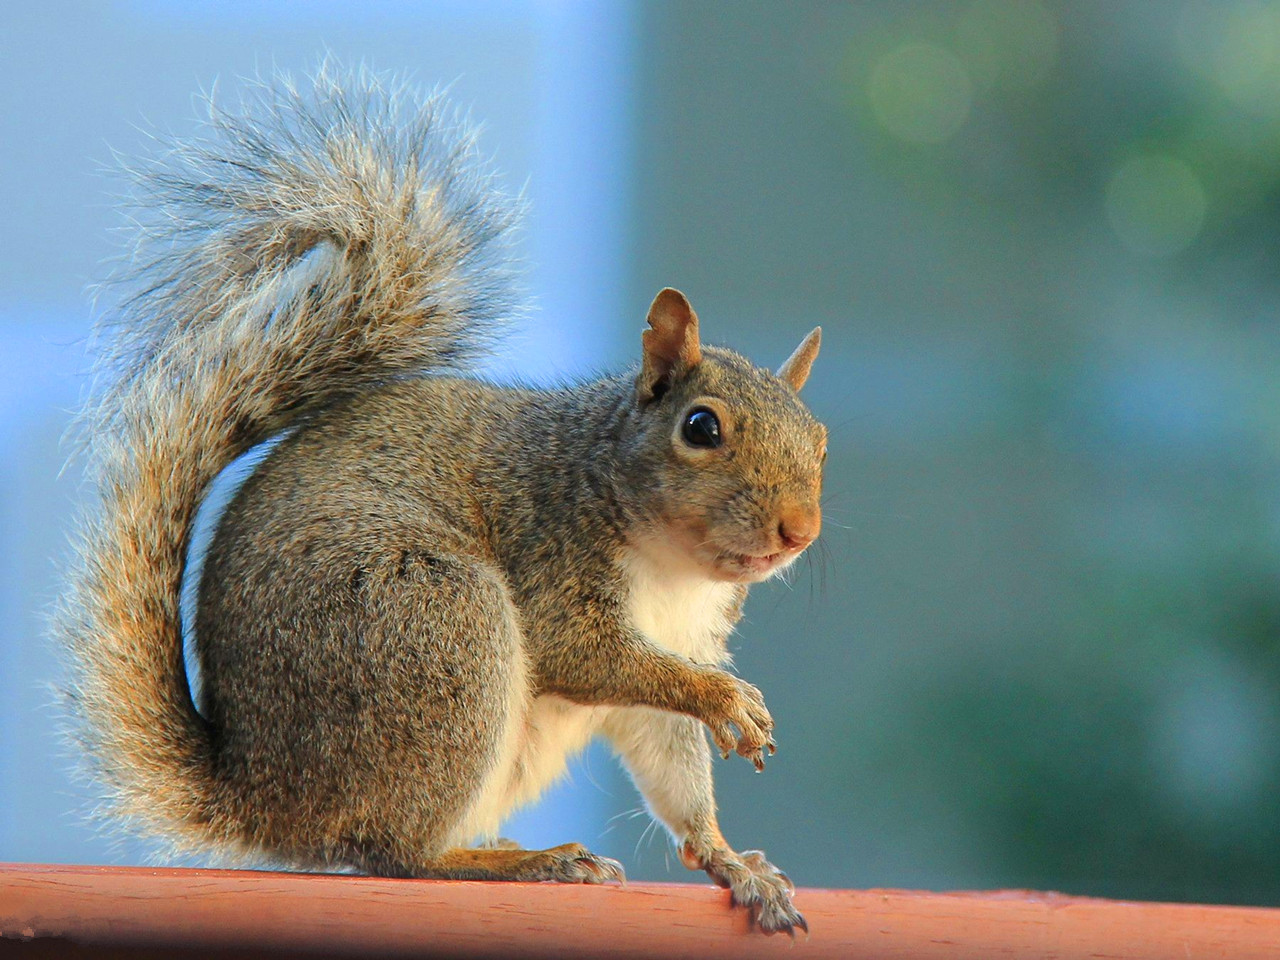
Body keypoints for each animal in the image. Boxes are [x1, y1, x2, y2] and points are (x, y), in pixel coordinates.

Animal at [55, 64, 824, 936]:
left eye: (822, 442)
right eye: (701, 427)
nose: (800, 530)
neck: (671, 565)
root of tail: (263, 795)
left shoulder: (684, 632)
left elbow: (667, 750)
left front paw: (732, 861)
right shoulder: (550, 542)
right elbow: (582, 654)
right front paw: (728, 700)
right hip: (433, 621)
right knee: (393, 851)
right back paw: (525, 861)